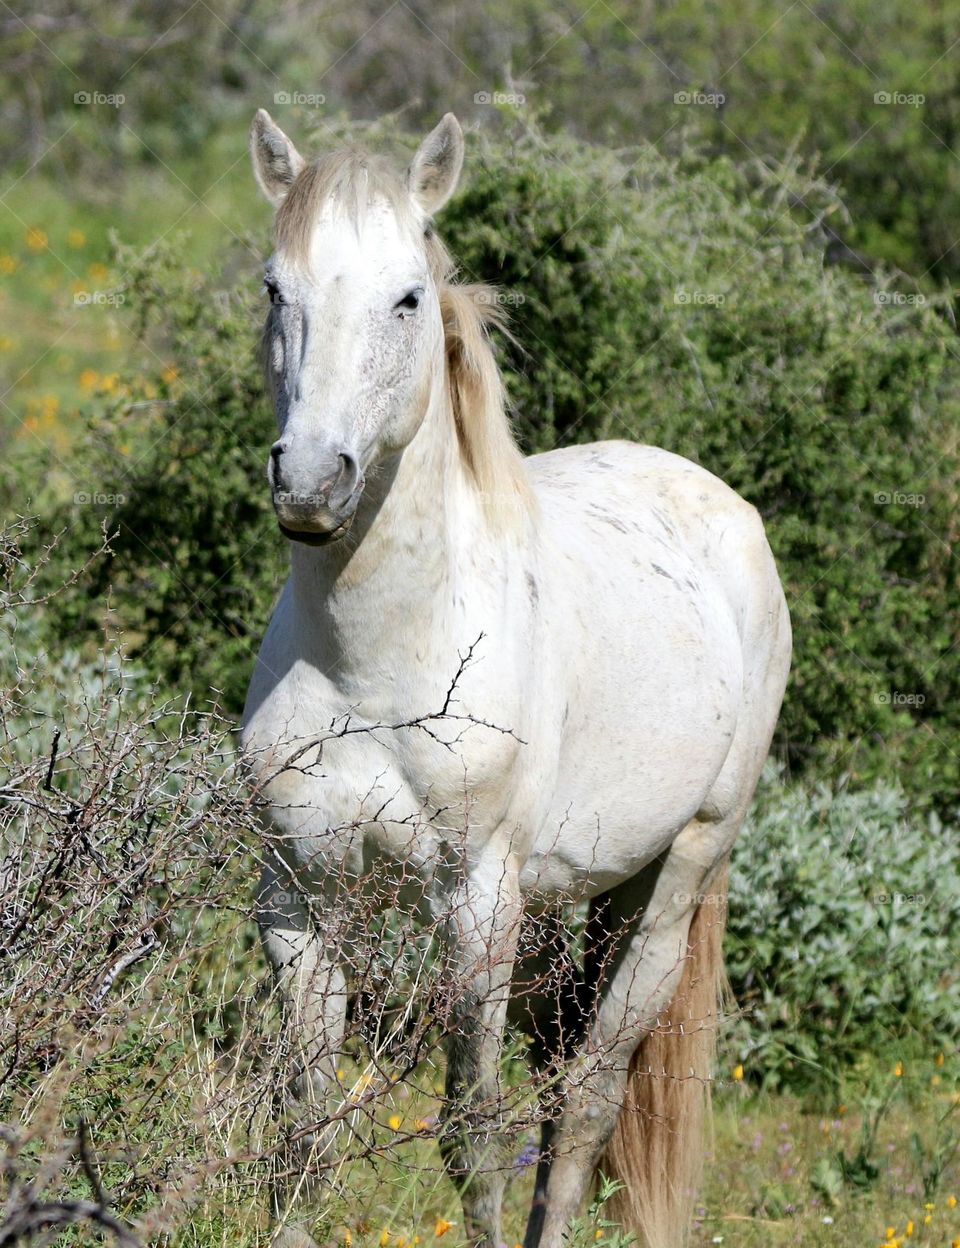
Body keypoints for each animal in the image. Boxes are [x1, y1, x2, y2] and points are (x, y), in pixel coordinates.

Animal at [241, 109, 791, 1248]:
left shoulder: (476, 906)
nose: (311, 482)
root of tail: (722, 506)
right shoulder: (297, 899)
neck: (373, 663)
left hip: (671, 884)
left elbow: (473, 1135)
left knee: (582, 1103)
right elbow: (301, 1135)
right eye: (276, 289)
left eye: (409, 297)